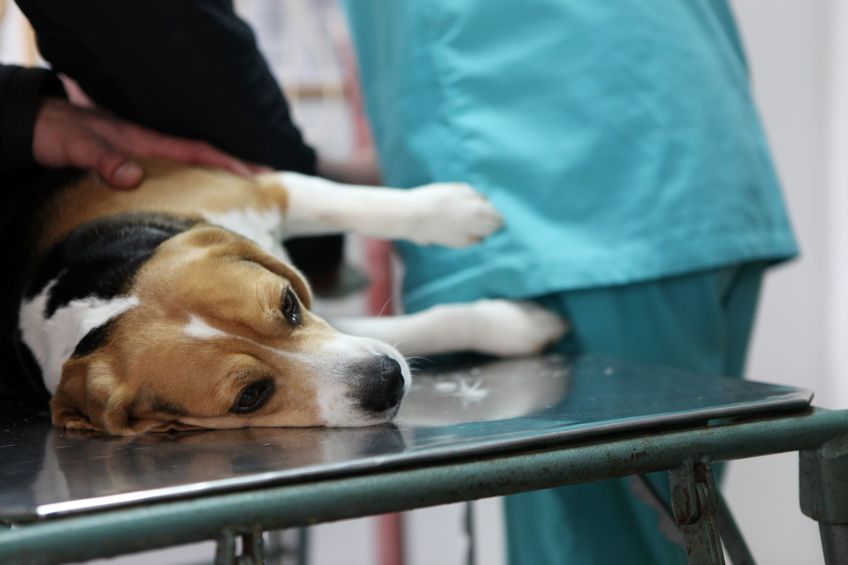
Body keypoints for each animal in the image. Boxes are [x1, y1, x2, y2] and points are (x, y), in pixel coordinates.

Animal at [9, 161, 568, 434]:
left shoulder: (258, 191)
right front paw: (519, 324)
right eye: (250, 397)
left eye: (288, 305)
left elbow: (350, 201)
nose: (389, 381)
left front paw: (451, 211)